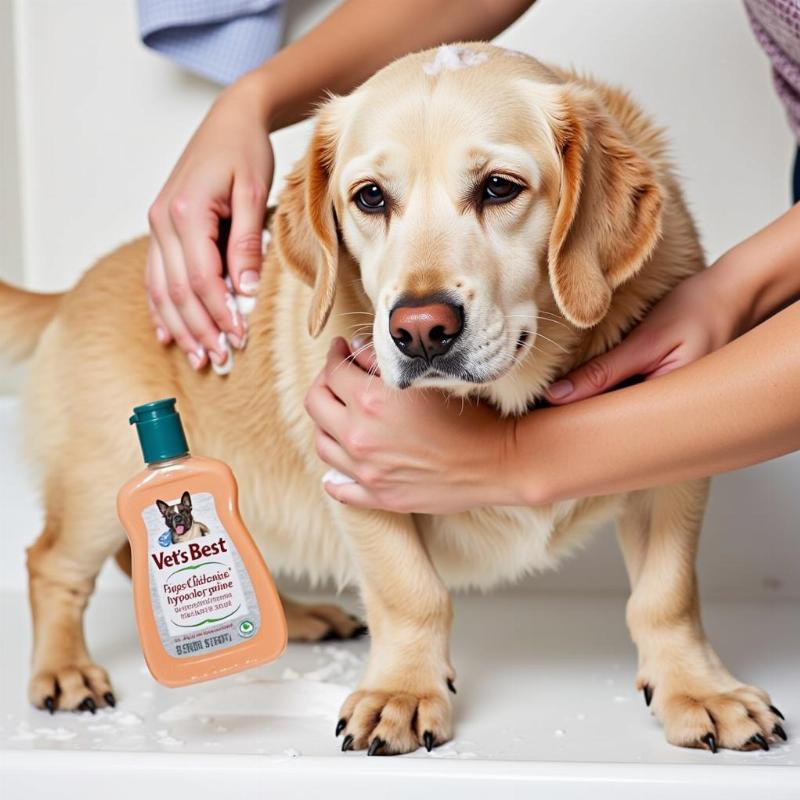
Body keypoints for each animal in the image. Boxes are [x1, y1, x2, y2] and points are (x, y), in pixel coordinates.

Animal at [0, 42, 784, 756]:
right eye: (370, 196)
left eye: (499, 188)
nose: (419, 330)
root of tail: (73, 287)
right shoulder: (357, 476)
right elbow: (411, 594)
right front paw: (403, 693)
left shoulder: (674, 473)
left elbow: (666, 597)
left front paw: (698, 690)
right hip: (100, 484)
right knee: (50, 565)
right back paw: (65, 671)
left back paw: (296, 617)